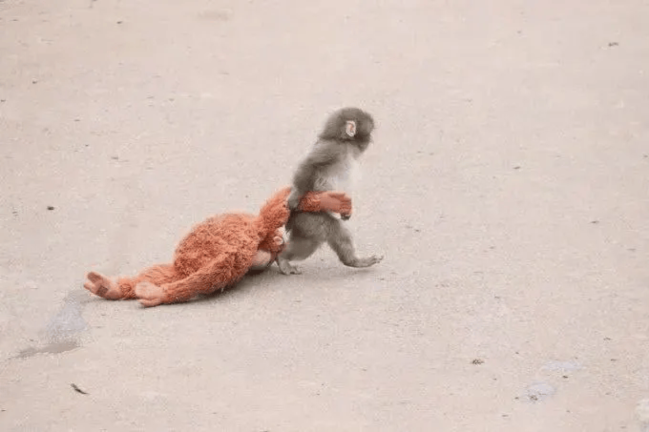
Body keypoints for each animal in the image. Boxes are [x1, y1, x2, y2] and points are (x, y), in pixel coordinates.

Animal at [277, 107, 384, 275]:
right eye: (369, 132)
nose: (370, 140)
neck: (342, 142)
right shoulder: (332, 149)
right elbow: (310, 165)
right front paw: (295, 196)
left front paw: (346, 211)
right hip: (309, 217)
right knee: (327, 233)